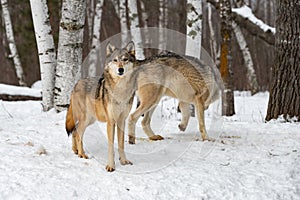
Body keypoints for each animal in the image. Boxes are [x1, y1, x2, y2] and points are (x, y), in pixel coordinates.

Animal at [66, 41, 137, 171]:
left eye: (125, 60)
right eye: (115, 60)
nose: (120, 69)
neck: (121, 90)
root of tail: (76, 84)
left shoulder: (121, 120)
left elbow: (121, 144)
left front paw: (124, 161)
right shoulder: (111, 121)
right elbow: (111, 145)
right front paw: (110, 166)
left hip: (90, 120)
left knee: (74, 131)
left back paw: (76, 151)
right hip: (85, 119)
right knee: (78, 133)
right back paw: (82, 154)